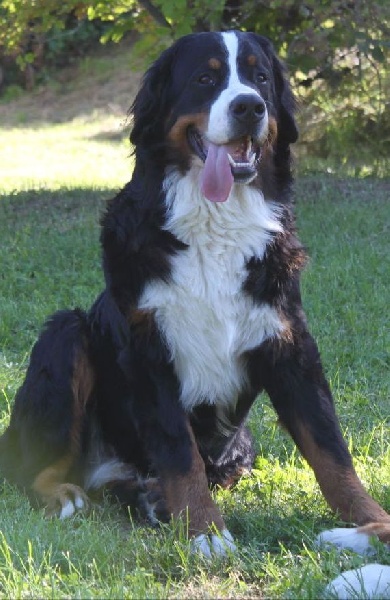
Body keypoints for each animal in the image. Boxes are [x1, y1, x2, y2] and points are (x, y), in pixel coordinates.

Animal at [0, 30, 390, 556]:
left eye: (259, 77)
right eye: (205, 79)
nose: (249, 107)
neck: (215, 222)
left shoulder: (289, 344)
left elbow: (330, 449)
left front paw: (371, 522)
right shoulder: (151, 352)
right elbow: (179, 453)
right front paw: (206, 532)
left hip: (241, 448)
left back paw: (147, 497)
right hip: (66, 334)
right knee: (31, 467)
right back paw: (67, 494)